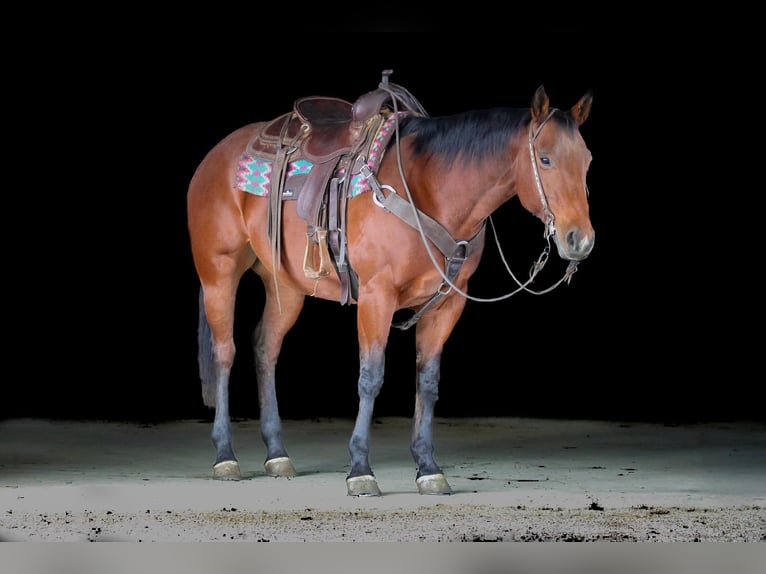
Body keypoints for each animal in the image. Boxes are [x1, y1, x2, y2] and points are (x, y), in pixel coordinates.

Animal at [187, 72, 594, 496]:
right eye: (545, 159)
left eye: (586, 161)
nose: (579, 240)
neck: (429, 188)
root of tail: (216, 155)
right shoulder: (376, 296)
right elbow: (371, 378)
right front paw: (360, 469)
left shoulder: (447, 304)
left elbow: (427, 382)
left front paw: (428, 467)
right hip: (218, 274)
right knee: (224, 353)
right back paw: (225, 456)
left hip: (286, 286)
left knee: (265, 348)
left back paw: (277, 454)